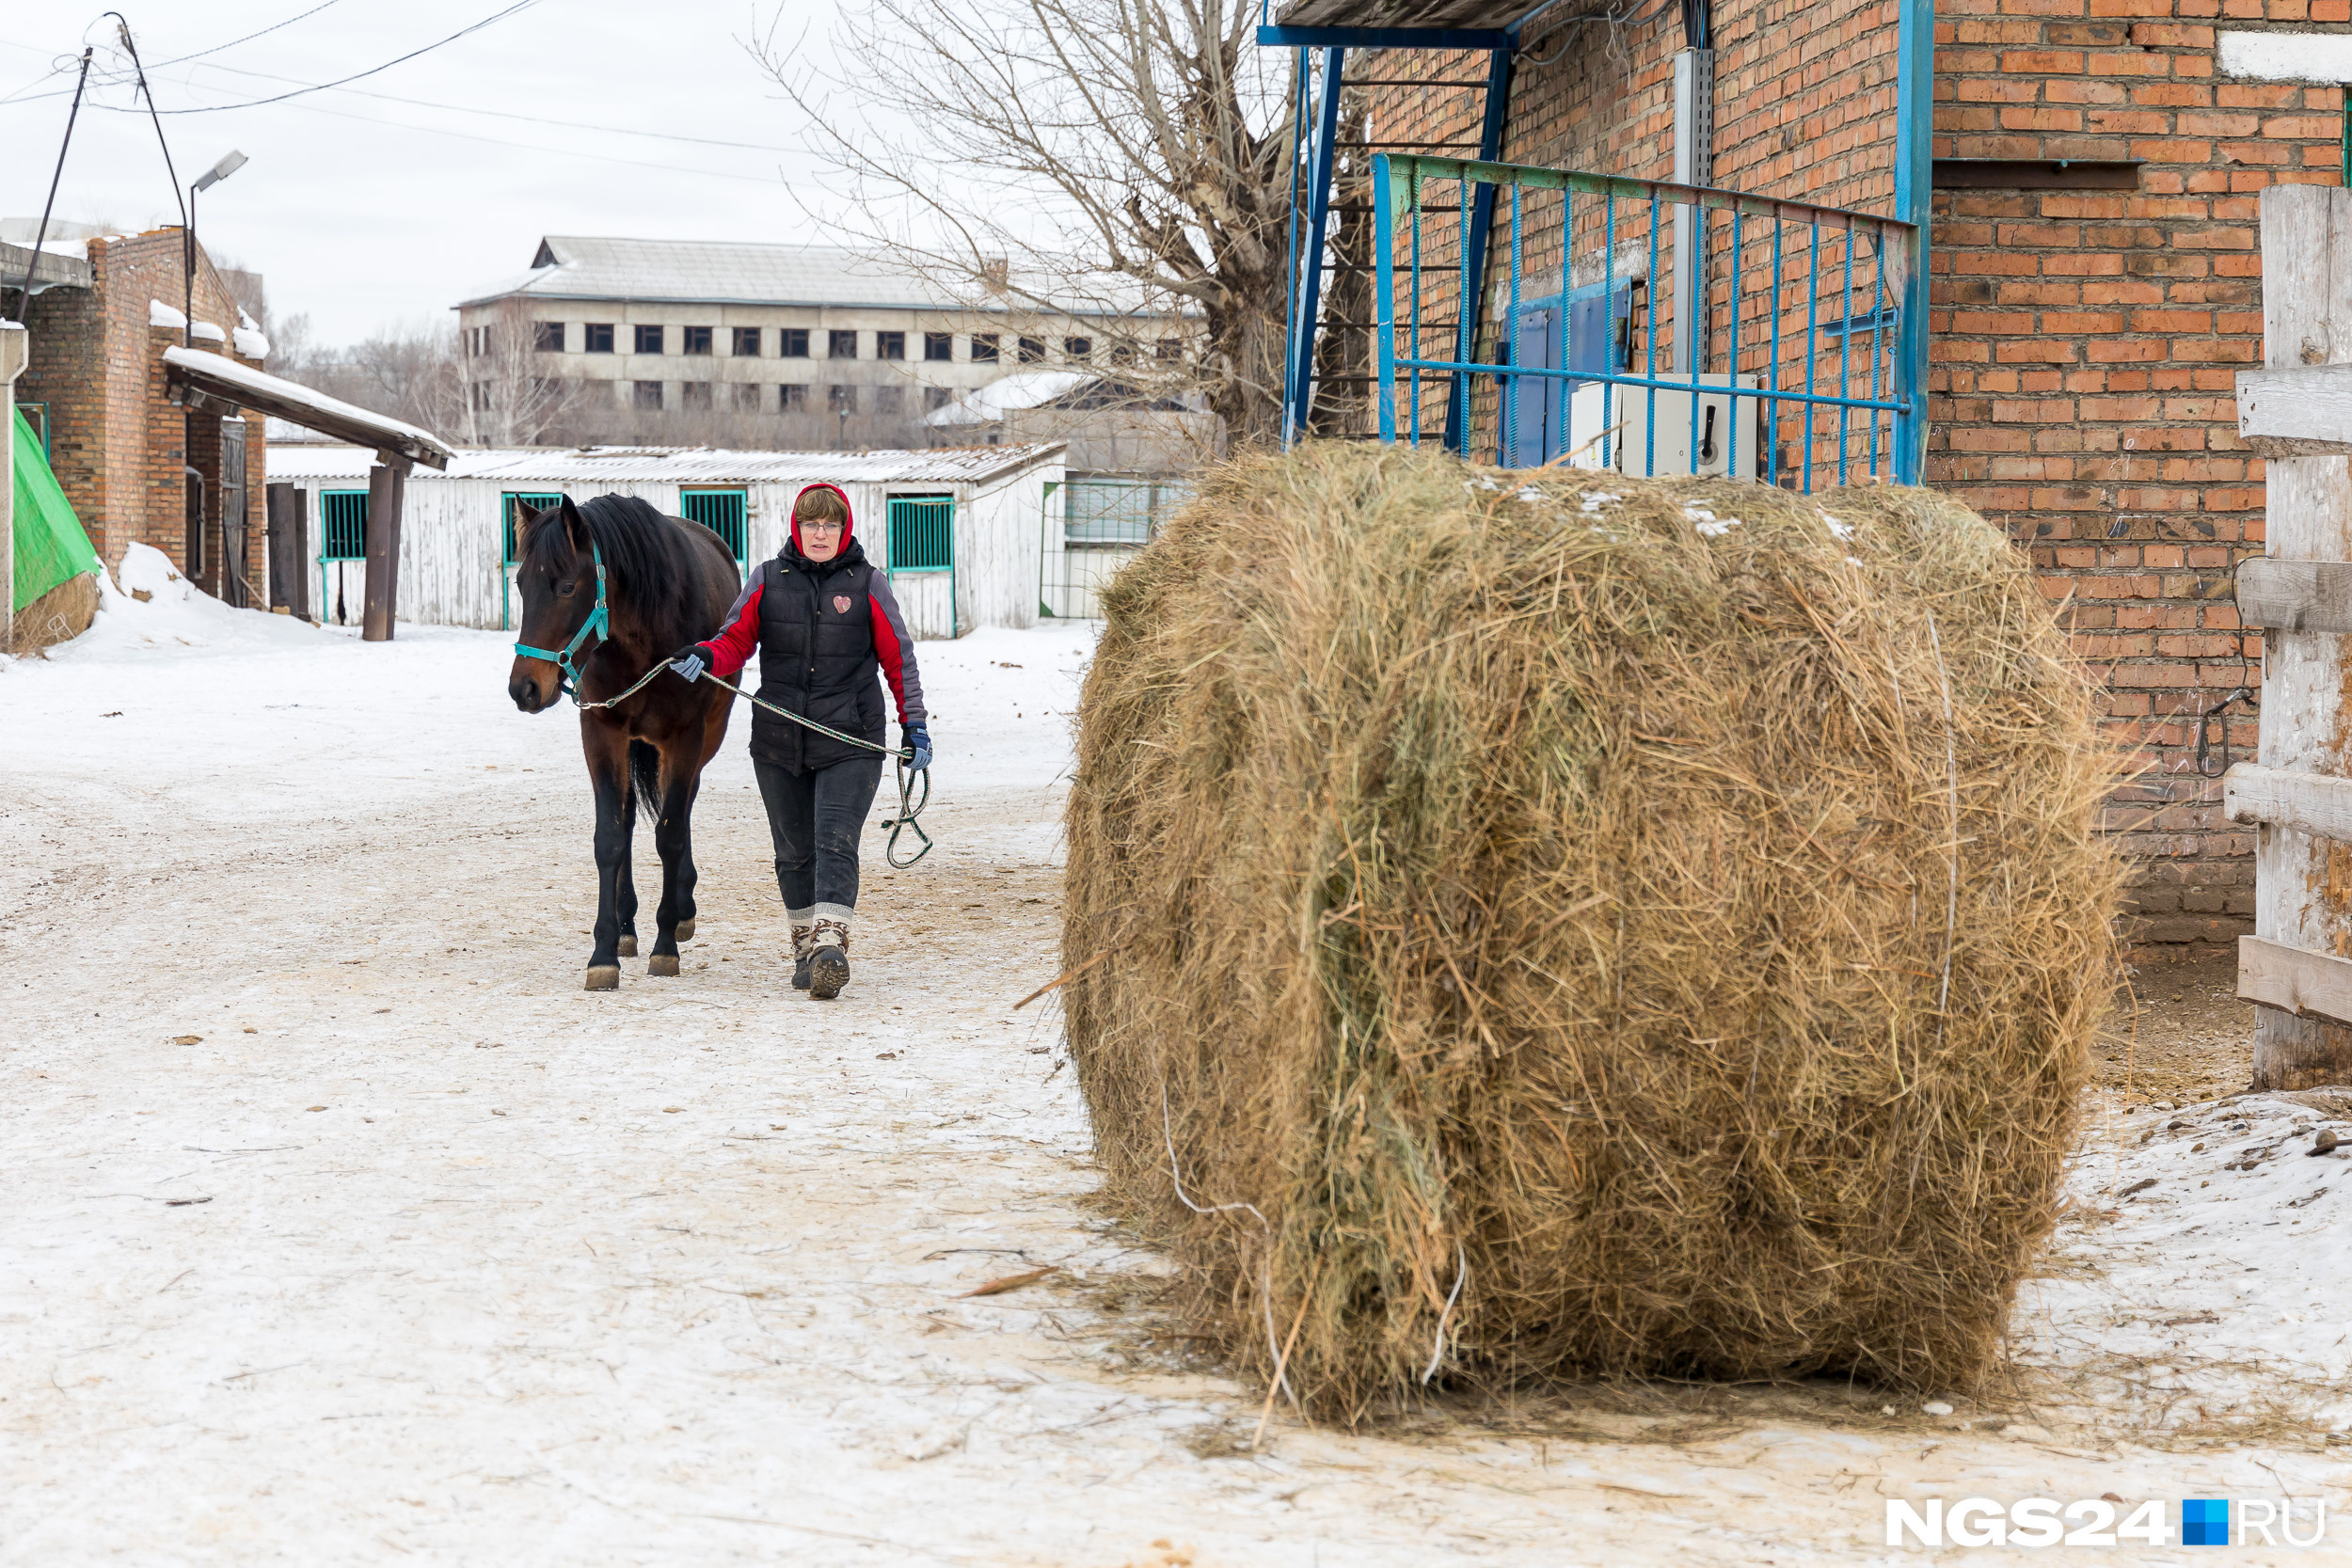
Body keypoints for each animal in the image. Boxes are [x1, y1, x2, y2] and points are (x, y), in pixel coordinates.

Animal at [510, 496, 739, 991]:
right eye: (519, 584)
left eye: (567, 587)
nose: (524, 689)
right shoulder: (602, 733)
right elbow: (611, 838)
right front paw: (604, 952)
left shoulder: (686, 737)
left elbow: (670, 835)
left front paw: (666, 945)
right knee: (632, 819)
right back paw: (629, 926)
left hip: (707, 737)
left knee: (682, 809)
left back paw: (681, 910)